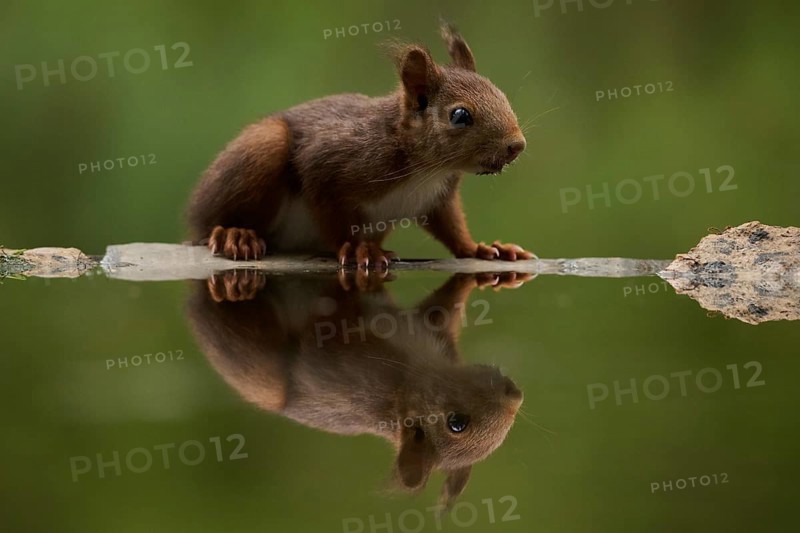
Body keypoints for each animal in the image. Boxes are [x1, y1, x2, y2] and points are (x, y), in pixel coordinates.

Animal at [187, 21, 533, 267]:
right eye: (460, 115)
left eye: (501, 95)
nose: (517, 145)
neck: (426, 168)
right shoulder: (326, 164)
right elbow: (331, 213)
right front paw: (356, 249)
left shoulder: (439, 196)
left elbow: (450, 226)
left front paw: (482, 248)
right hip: (264, 147)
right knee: (211, 225)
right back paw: (235, 235)